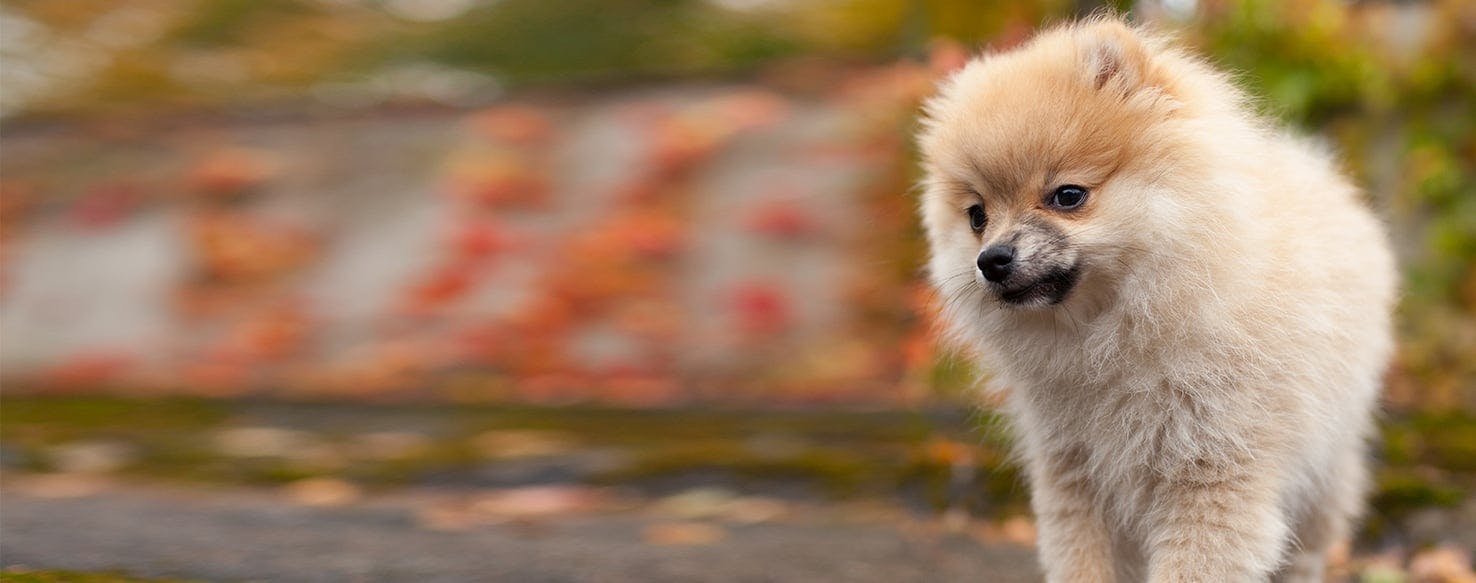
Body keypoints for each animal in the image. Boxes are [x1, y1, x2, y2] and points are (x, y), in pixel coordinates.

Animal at [921, 18, 1393, 583]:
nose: (991, 259)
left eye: (1068, 196)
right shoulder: (1077, 473)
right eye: (977, 216)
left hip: (1323, 467)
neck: (1111, 337)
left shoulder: (1213, 471)